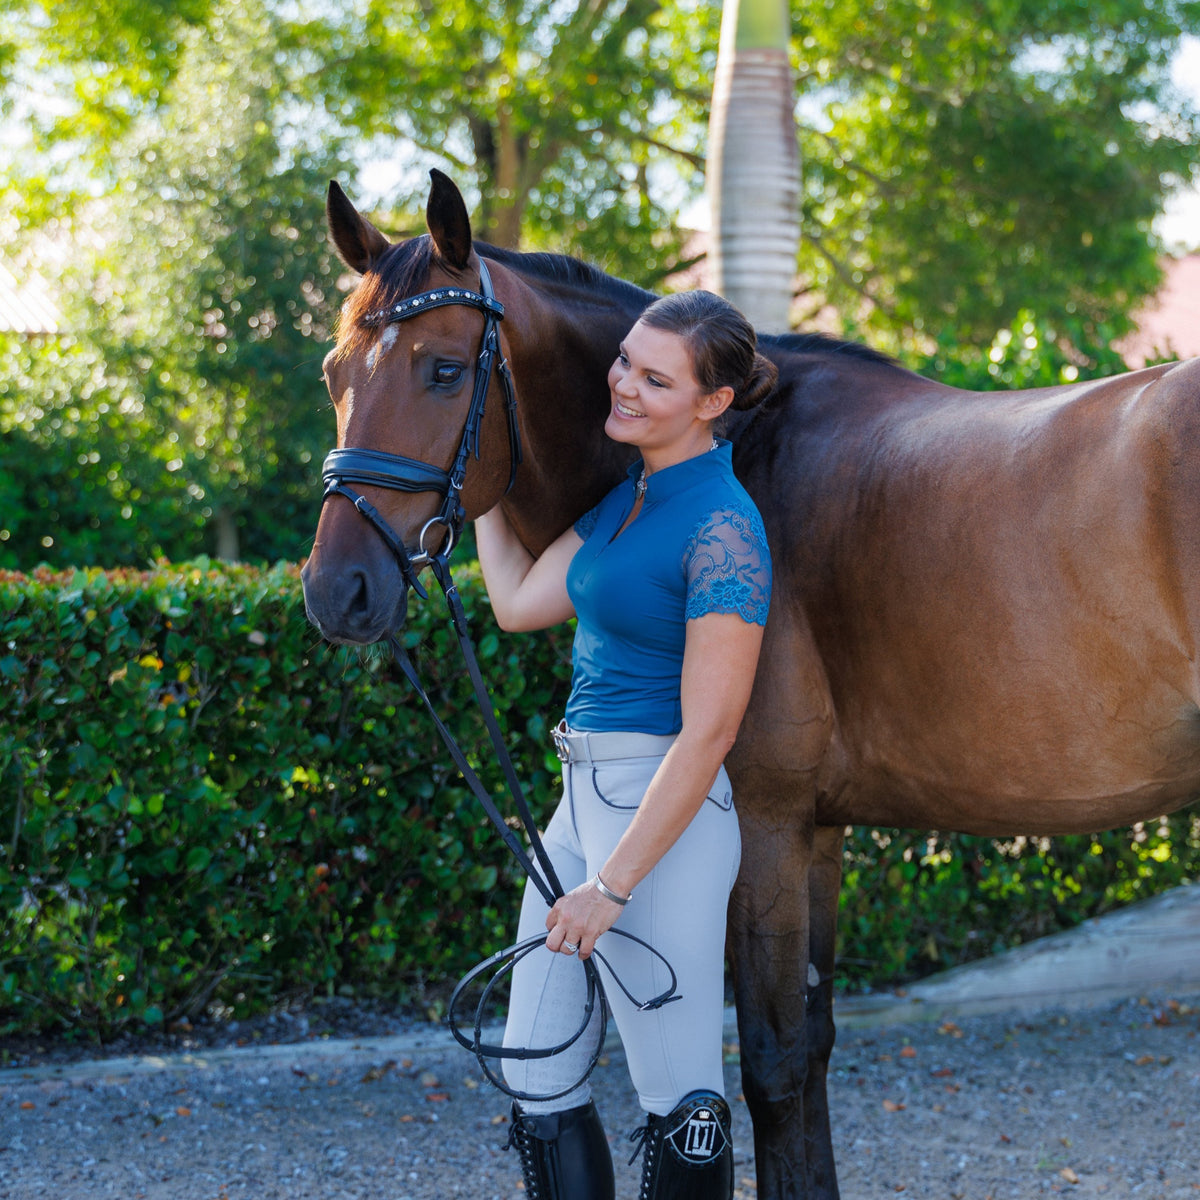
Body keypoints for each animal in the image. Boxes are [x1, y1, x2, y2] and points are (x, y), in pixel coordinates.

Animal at [302, 171, 1200, 1200]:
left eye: (445, 370)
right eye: (333, 373)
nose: (336, 590)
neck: (741, 448)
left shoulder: (762, 822)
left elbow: (770, 1061)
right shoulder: (818, 830)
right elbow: (813, 1046)